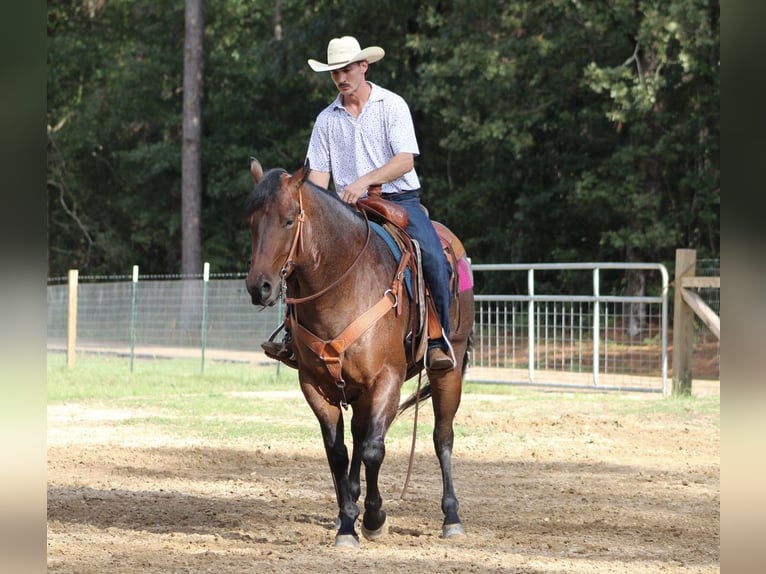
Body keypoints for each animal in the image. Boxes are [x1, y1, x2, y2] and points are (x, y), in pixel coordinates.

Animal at [246, 158, 474, 548]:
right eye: (251, 222)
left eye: (289, 220)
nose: (258, 287)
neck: (342, 285)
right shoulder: (314, 384)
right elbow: (339, 452)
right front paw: (347, 523)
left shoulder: (387, 379)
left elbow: (373, 449)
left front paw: (373, 517)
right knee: (357, 434)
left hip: (449, 371)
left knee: (441, 437)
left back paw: (451, 517)